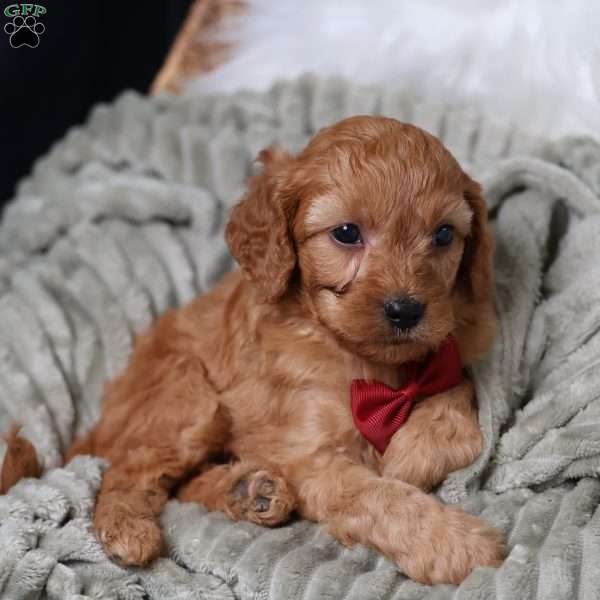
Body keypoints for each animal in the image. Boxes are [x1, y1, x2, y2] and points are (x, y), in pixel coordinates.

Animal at [11, 115, 504, 584]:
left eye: (443, 235)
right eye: (347, 233)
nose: (406, 310)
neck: (370, 366)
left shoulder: (453, 355)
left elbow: (458, 404)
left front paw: (413, 452)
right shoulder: (310, 457)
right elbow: (379, 497)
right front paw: (454, 543)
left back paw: (249, 491)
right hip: (187, 396)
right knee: (126, 470)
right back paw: (129, 529)